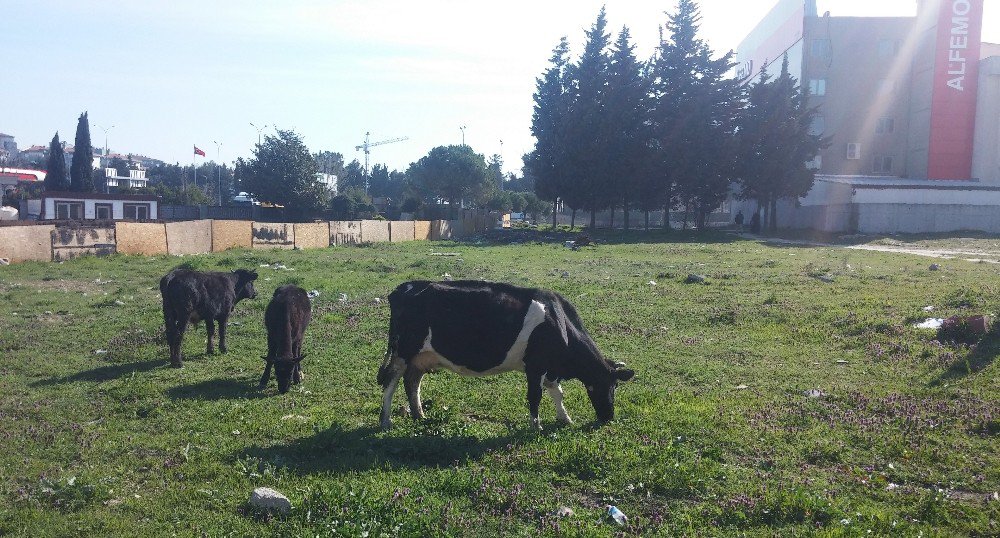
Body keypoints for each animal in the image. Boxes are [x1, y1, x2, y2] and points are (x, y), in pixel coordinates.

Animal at [376, 280, 632, 428]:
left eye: (616, 386)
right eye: (608, 385)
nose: (609, 416)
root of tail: (404, 287)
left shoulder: (549, 367)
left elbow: (557, 393)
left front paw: (565, 418)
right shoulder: (535, 366)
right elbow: (535, 396)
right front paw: (536, 426)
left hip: (422, 355)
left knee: (412, 381)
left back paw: (419, 415)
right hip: (403, 350)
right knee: (391, 380)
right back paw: (386, 420)